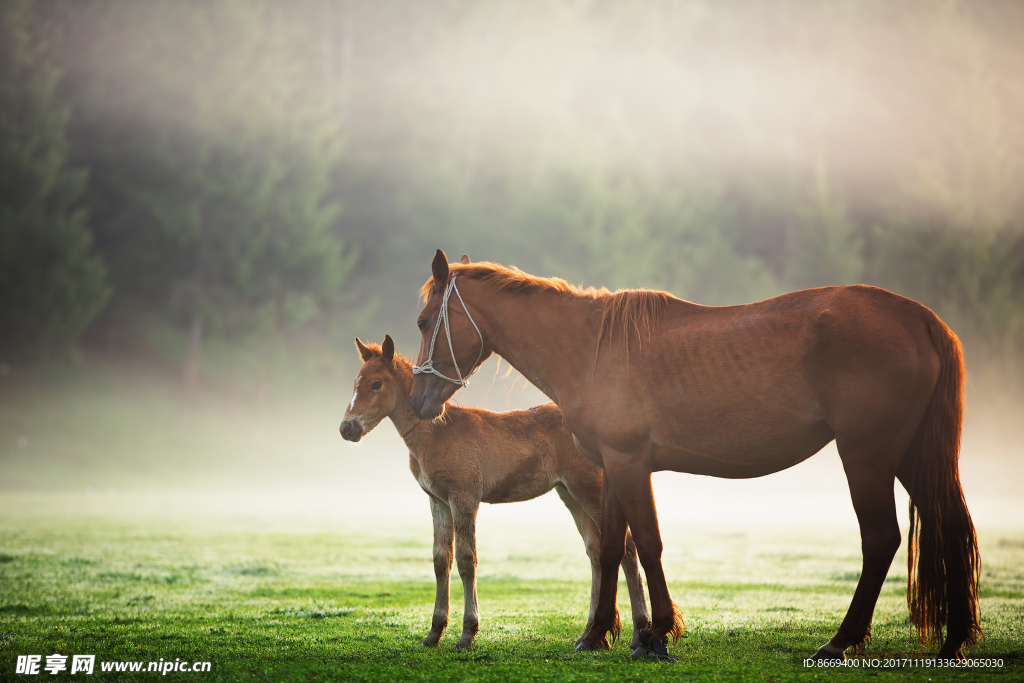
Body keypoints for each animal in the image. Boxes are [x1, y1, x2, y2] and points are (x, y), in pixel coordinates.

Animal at [339, 335, 651, 651]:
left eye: (376, 384)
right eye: (355, 382)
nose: (347, 428)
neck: (437, 433)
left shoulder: (464, 498)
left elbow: (467, 559)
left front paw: (467, 634)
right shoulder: (438, 501)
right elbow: (441, 559)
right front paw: (434, 633)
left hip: (589, 489)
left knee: (626, 549)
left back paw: (638, 634)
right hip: (571, 495)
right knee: (596, 552)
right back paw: (590, 635)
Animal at [407, 250, 983, 663]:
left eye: (424, 320)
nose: (419, 401)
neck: (593, 348)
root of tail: (922, 319)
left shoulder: (630, 463)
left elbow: (648, 544)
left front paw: (657, 634)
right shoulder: (612, 467)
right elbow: (613, 548)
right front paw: (598, 634)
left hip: (866, 455)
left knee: (881, 539)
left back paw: (839, 641)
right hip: (910, 457)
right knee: (951, 527)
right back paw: (954, 640)